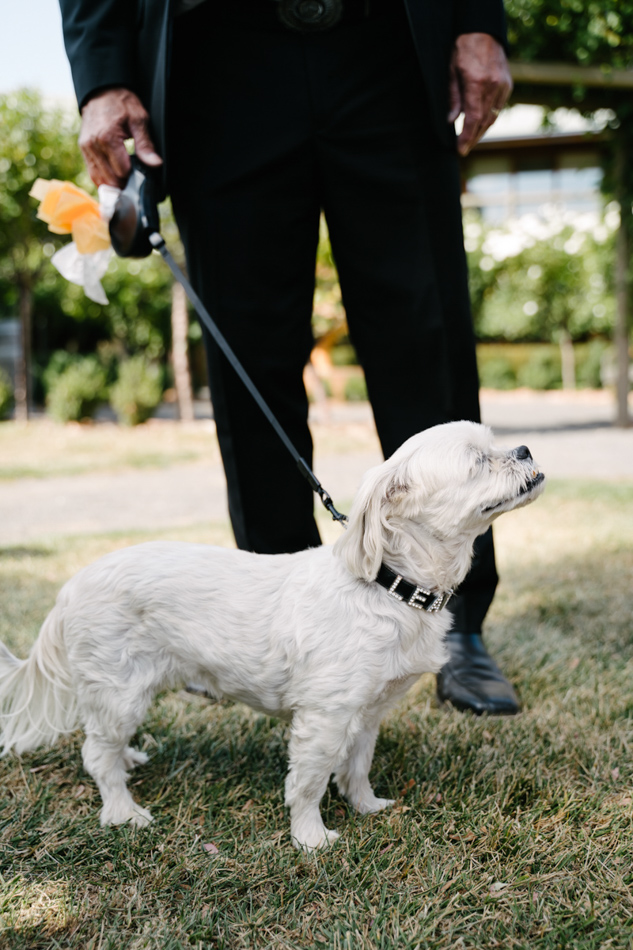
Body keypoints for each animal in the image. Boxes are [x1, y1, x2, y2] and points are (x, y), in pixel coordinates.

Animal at [0, 420, 544, 852]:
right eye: (477, 461)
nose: (525, 450)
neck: (389, 586)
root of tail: (72, 585)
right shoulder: (323, 719)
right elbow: (308, 782)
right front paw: (310, 838)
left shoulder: (367, 713)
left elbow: (357, 766)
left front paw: (366, 805)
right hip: (120, 690)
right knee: (96, 754)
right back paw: (122, 811)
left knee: (104, 744)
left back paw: (128, 758)